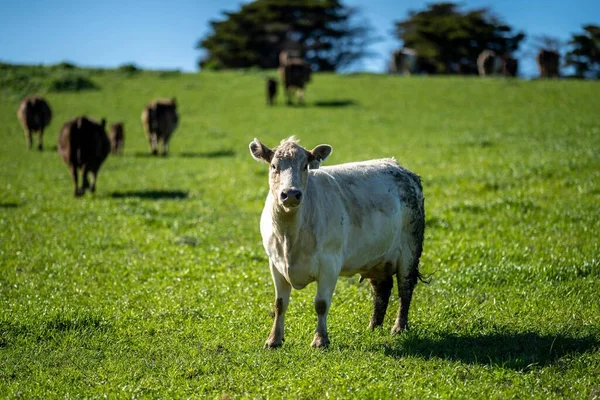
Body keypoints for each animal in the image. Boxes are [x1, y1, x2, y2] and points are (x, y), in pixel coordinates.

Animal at [248, 137, 426, 346]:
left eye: (305, 166)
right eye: (274, 166)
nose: (291, 194)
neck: (289, 236)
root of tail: (400, 168)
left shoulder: (330, 263)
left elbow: (321, 304)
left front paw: (320, 340)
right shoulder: (275, 264)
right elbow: (280, 304)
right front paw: (274, 339)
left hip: (410, 249)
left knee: (405, 288)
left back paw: (399, 327)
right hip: (376, 256)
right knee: (382, 288)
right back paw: (374, 326)